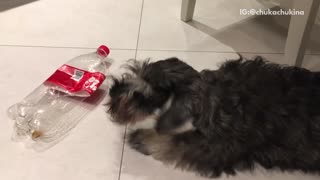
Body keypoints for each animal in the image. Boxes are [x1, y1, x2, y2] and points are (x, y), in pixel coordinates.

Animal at [106, 57, 320, 178]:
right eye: (135, 72)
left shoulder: (215, 147)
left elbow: (175, 140)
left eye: (143, 95)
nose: (112, 92)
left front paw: (141, 137)